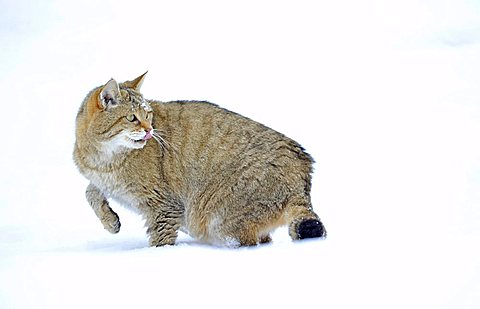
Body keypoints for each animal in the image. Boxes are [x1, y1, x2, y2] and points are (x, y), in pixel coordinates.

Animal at [72, 71, 326, 245]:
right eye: (132, 118)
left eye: (148, 114)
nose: (150, 130)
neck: (103, 158)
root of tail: (302, 165)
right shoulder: (101, 179)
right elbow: (90, 191)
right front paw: (110, 221)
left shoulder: (165, 206)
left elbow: (161, 239)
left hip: (221, 219)